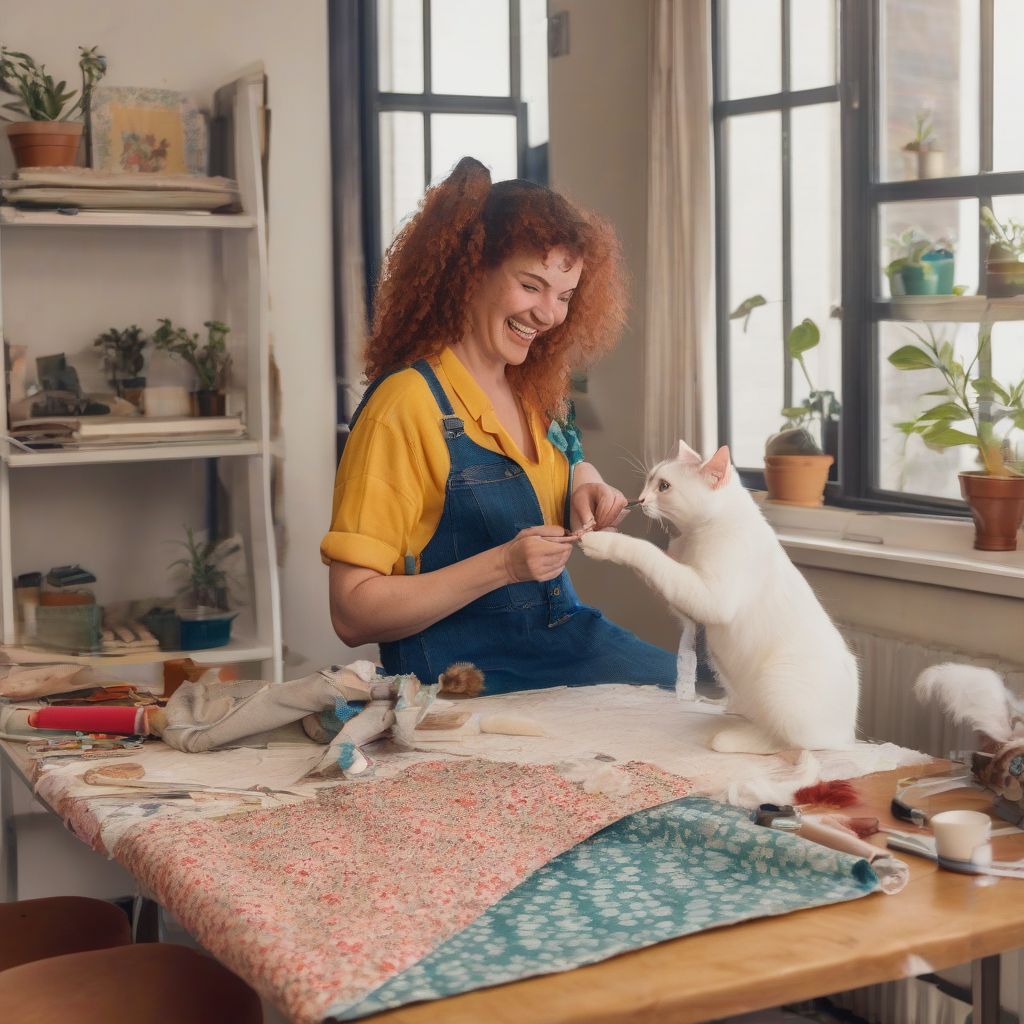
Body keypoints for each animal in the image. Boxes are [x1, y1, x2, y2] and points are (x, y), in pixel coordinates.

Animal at [581, 440, 860, 753]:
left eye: (664, 486)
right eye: (649, 480)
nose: (640, 499)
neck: (700, 532)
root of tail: (846, 735)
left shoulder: (711, 597)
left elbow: (647, 552)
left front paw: (603, 541)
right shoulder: (683, 583)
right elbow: (661, 566)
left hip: (777, 683)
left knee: (791, 742)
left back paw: (733, 738)